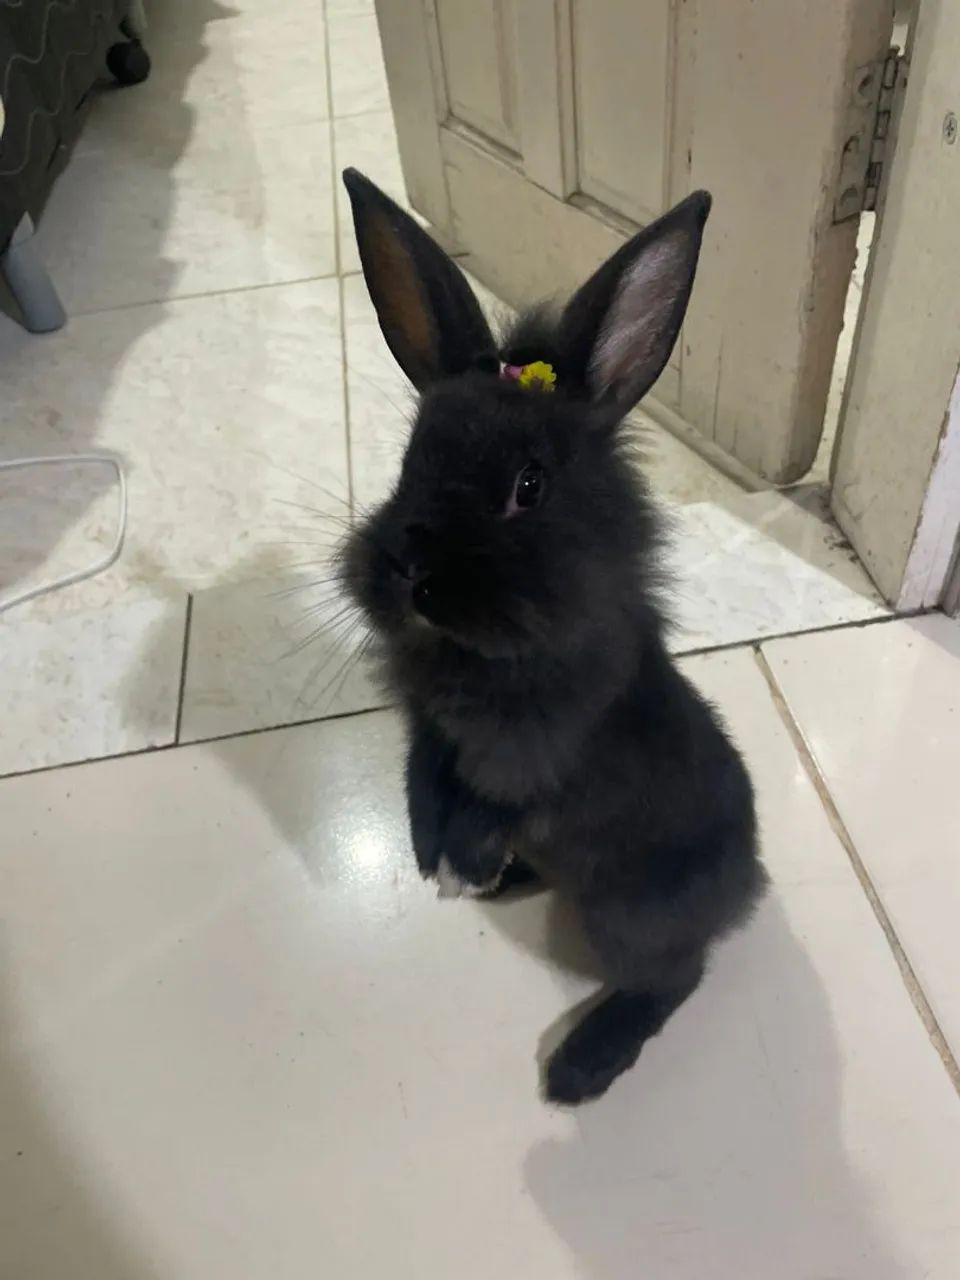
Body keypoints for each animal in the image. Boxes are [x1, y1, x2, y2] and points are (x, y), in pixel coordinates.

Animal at [338, 168, 767, 1105]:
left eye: (529, 486)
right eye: (409, 466)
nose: (415, 577)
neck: (477, 653)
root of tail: (748, 886)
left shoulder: (536, 752)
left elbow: (493, 802)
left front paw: (462, 860)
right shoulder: (429, 731)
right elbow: (427, 776)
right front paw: (431, 856)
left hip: (625, 916)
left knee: (675, 976)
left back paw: (582, 1064)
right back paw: (512, 882)